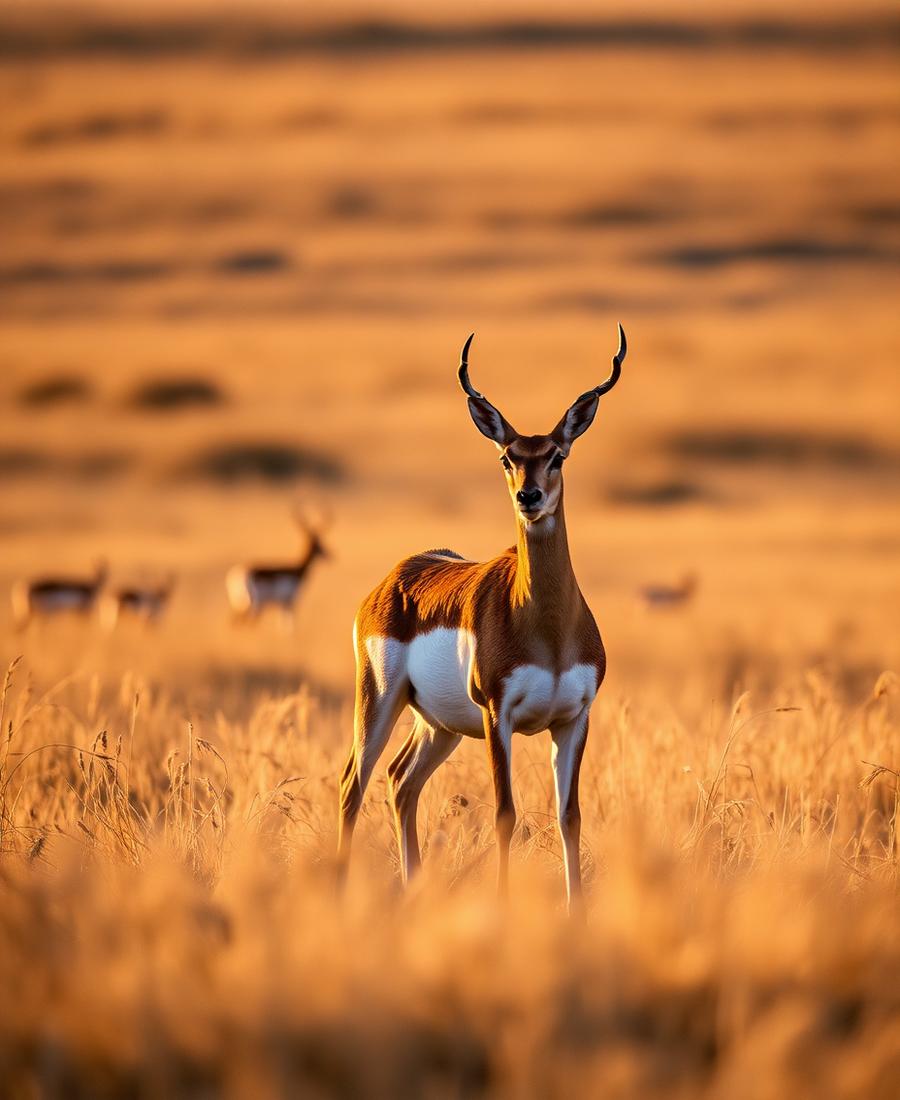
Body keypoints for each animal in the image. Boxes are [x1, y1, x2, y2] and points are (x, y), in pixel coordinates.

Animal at [338, 325, 627, 908]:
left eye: (557, 455)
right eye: (507, 458)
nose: (528, 497)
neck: (548, 632)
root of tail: (399, 574)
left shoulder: (574, 718)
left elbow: (570, 817)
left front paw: (576, 909)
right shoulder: (500, 715)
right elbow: (505, 814)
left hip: (438, 724)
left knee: (400, 781)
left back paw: (412, 888)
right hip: (378, 699)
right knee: (352, 783)